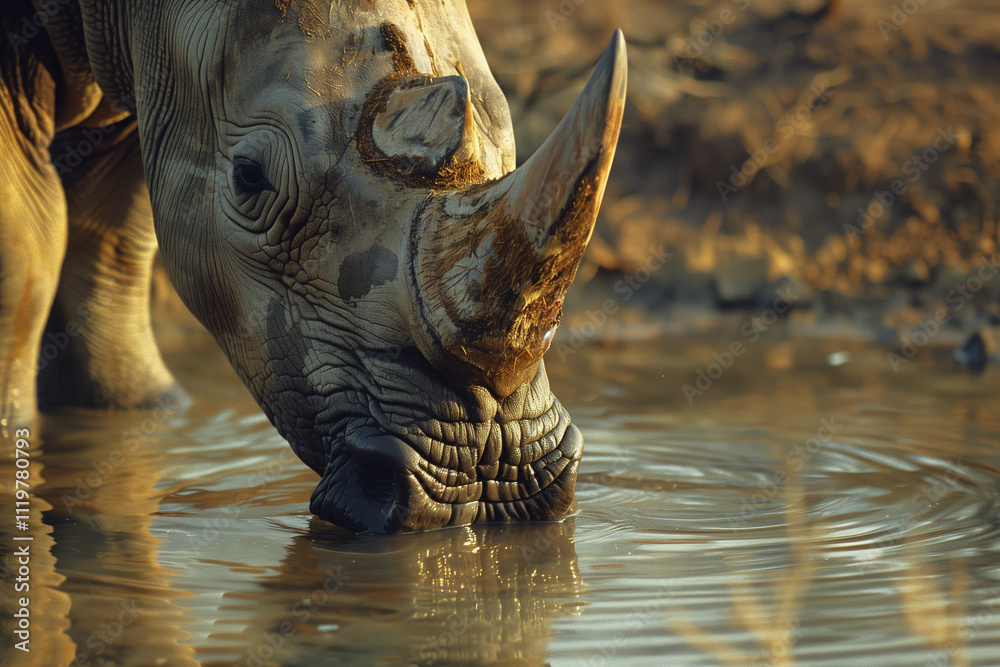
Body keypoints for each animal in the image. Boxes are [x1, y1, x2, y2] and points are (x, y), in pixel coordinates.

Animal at [1, 0, 626, 533]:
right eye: (249, 178)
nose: (486, 475)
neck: (129, 13)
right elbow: (22, 255)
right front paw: (14, 439)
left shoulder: (145, 86)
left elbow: (114, 237)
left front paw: (132, 407)